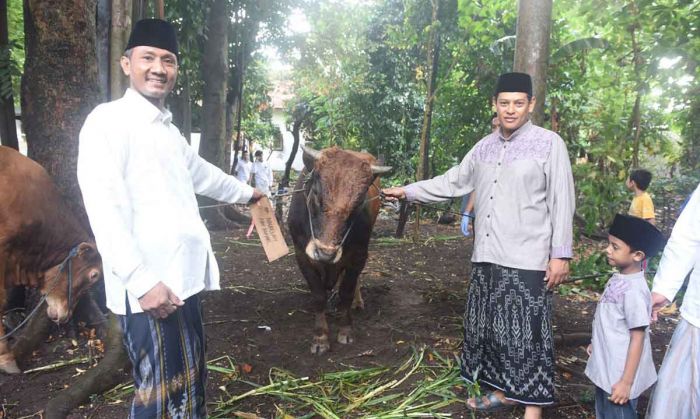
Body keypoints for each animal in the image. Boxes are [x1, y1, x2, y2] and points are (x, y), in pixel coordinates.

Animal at [288, 146, 392, 356]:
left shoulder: (359, 255)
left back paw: (357, 302)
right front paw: (320, 338)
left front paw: (346, 330)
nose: (325, 253)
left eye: (358, 203)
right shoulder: (301, 255)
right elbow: (318, 295)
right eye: (316, 193)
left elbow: (347, 292)